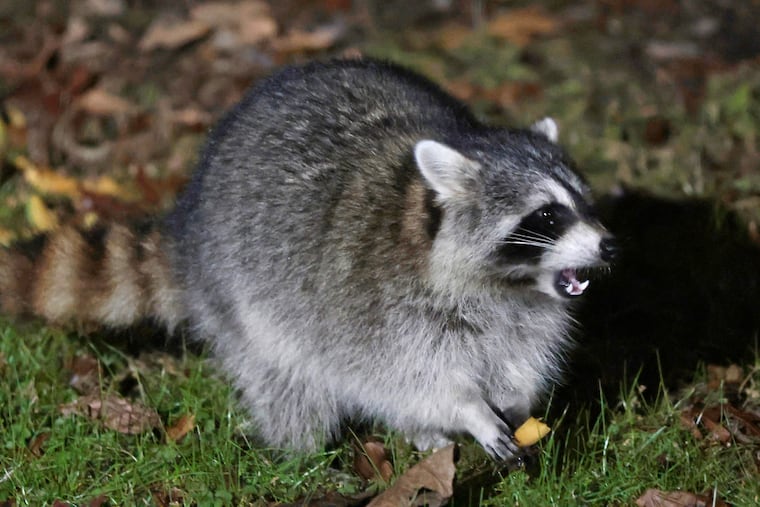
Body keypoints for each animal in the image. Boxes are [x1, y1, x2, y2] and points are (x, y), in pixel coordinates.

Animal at [1, 59, 616, 460]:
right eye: (546, 216)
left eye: (584, 201)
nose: (609, 245)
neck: (507, 285)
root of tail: (188, 224)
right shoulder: (377, 313)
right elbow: (410, 375)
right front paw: (468, 411)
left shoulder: (525, 316)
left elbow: (521, 356)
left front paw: (516, 400)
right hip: (242, 301)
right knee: (288, 382)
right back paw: (305, 452)